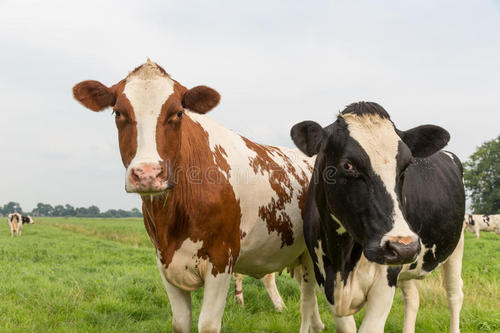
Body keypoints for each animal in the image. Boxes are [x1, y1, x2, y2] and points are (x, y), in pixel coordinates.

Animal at [72, 60, 326, 332]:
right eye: (118, 113)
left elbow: (208, 325)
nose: (148, 173)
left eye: (178, 113)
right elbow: (180, 322)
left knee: (307, 301)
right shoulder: (164, 261)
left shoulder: (221, 260)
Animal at [292, 102, 466, 332]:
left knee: (454, 294)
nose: (402, 247)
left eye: (406, 166)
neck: (341, 262)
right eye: (348, 165)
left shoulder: (385, 282)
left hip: (455, 245)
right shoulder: (324, 277)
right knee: (413, 297)